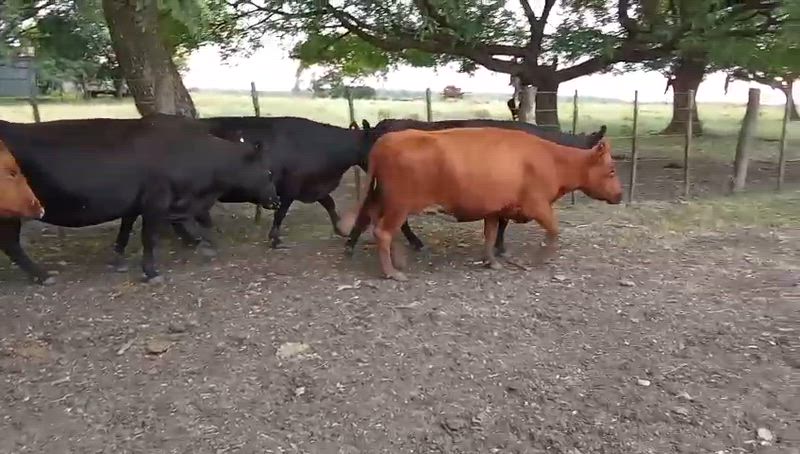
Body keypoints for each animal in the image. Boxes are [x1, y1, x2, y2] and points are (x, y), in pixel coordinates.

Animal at [0, 117, 279, 285]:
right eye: (267, 172)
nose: (276, 200)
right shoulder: (156, 202)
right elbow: (149, 237)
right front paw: (151, 272)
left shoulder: (134, 203)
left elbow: (125, 230)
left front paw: (118, 261)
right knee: (11, 244)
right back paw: (42, 275)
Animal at [338, 127, 623, 281]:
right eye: (611, 171)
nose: (620, 195)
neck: (552, 159)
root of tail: (386, 140)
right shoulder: (537, 205)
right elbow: (554, 230)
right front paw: (539, 259)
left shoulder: (493, 210)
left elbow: (490, 235)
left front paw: (491, 261)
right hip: (399, 203)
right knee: (384, 232)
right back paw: (392, 272)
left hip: (382, 199)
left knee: (379, 225)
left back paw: (398, 262)